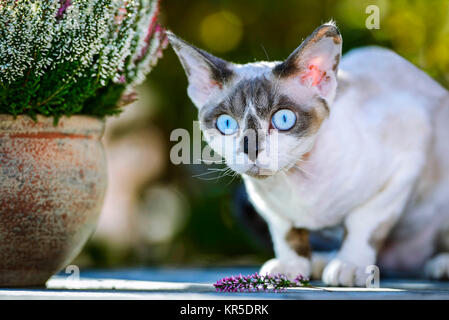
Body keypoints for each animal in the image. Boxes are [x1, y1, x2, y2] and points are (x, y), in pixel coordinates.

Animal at [166, 22, 448, 288]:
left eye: (283, 119)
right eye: (226, 123)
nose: (251, 148)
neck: (296, 183)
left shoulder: (407, 158)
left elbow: (362, 223)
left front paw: (349, 265)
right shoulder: (266, 205)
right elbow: (286, 233)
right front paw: (290, 267)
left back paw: (436, 265)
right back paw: (320, 262)